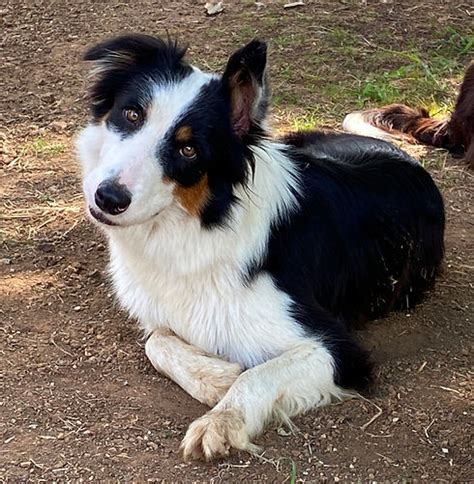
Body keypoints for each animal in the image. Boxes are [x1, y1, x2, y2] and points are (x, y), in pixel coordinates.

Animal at [77, 35, 444, 462]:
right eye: (132, 114)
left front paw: (221, 419)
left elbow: (257, 374)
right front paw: (217, 376)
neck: (204, 224)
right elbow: (157, 342)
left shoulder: (337, 347)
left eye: (189, 150)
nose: (108, 198)